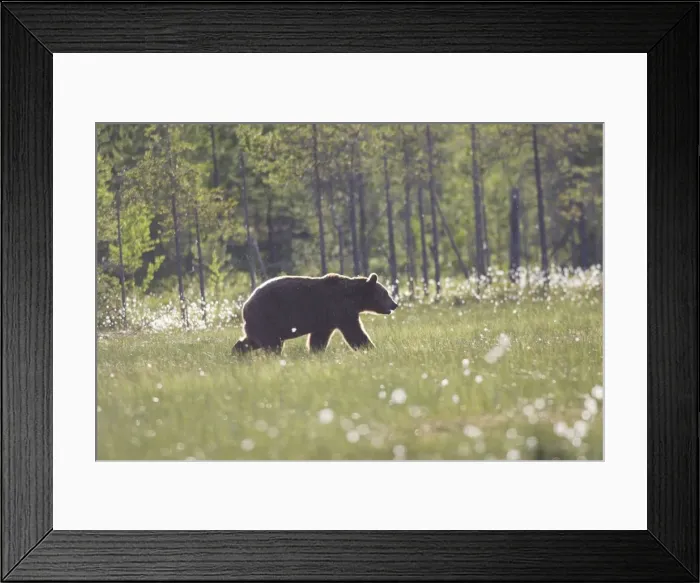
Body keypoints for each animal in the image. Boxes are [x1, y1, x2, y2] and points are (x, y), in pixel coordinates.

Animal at [232, 273, 398, 355]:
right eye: (385, 293)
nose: (394, 304)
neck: (354, 297)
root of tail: (245, 306)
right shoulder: (340, 310)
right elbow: (355, 332)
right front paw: (371, 348)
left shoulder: (326, 319)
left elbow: (319, 338)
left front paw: (316, 352)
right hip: (267, 317)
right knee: (272, 344)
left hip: (259, 324)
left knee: (251, 341)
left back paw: (236, 353)